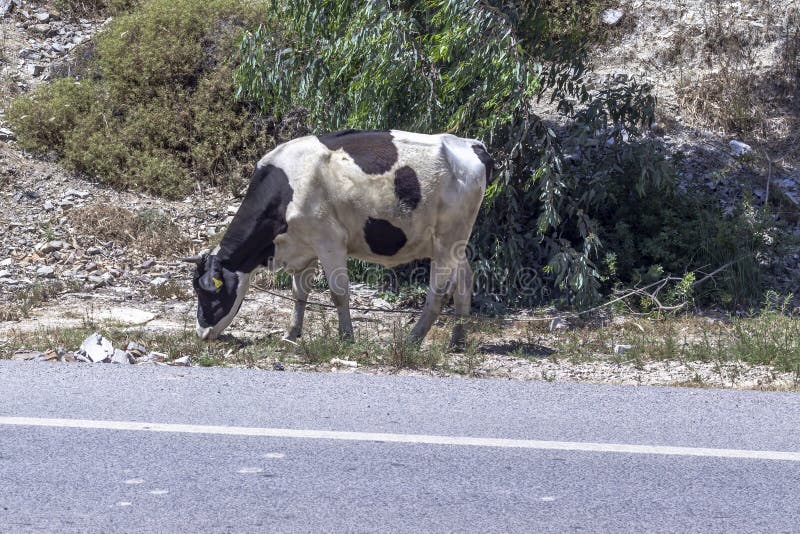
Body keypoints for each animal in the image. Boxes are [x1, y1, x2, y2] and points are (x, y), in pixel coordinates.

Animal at [184, 129, 490, 348]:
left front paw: (346, 338)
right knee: (465, 280)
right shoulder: (304, 248)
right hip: (455, 243)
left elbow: (338, 293)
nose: (201, 333)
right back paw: (457, 341)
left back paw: (413, 340)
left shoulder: (329, 241)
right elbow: (299, 293)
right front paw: (291, 334)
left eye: (210, 292)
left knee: (438, 293)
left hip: (447, 240)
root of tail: (472, 144)